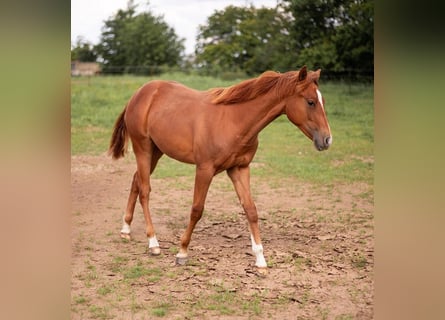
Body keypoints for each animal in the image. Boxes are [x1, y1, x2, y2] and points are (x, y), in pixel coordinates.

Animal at [107, 66, 330, 272]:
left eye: (322, 101)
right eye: (310, 101)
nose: (327, 140)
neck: (234, 120)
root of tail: (140, 93)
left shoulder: (239, 169)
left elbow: (251, 210)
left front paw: (260, 261)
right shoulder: (204, 169)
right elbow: (197, 209)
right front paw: (182, 252)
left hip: (156, 151)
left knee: (136, 180)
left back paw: (126, 230)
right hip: (143, 148)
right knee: (145, 190)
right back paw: (153, 243)